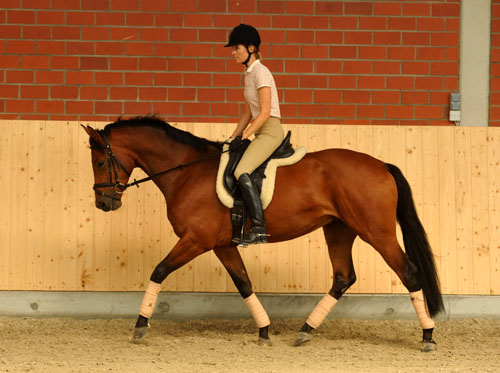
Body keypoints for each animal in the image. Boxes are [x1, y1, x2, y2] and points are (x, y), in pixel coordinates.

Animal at [83, 116, 446, 352]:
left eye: (100, 162)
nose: (104, 203)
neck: (187, 171)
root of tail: (382, 165)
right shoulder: (222, 244)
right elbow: (243, 283)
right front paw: (264, 329)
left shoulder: (196, 240)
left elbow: (158, 271)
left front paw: (140, 326)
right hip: (338, 230)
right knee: (344, 277)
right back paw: (305, 330)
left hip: (376, 233)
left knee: (409, 273)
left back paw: (427, 337)